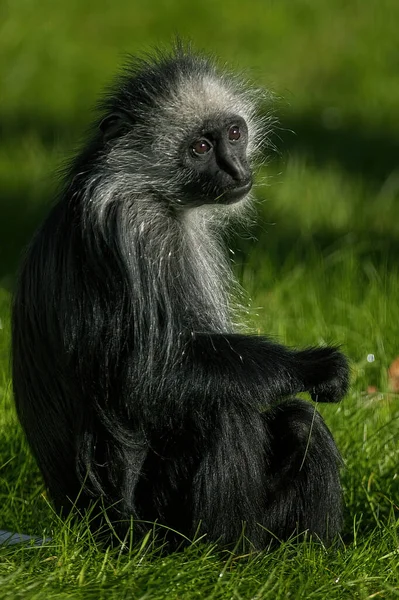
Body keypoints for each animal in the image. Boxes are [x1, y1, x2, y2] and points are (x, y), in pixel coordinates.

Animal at [11, 47, 350, 552]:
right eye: (201, 149)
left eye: (234, 134)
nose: (237, 171)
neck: (150, 189)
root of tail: (90, 528)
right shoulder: (137, 227)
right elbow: (148, 379)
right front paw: (315, 366)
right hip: (154, 525)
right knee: (224, 411)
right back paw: (223, 556)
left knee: (298, 422)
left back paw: (307, 557)